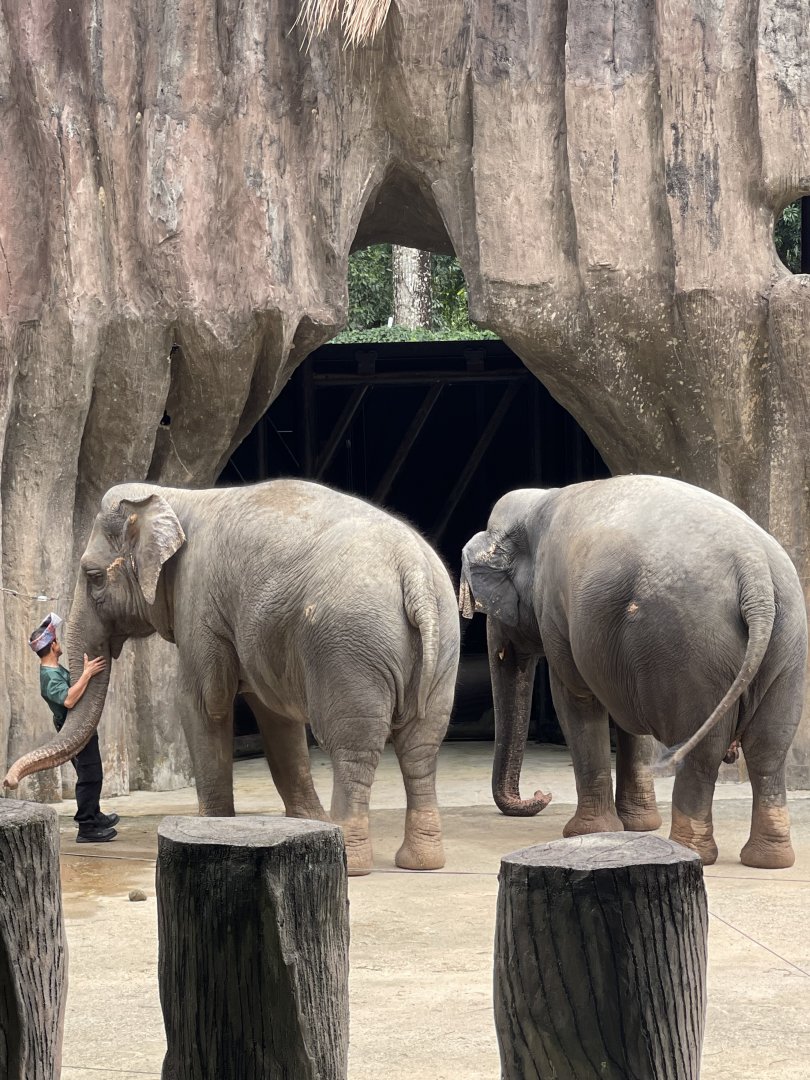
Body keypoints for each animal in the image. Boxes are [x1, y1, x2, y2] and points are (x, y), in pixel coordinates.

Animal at [5, 480, 461, 875]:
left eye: (93, 576)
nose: (7, 782)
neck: (174, 497)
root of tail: (413, 573)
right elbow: (274, 716)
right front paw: (307, 826)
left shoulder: (199, 598)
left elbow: (203, 703)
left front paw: (209, 829)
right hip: (439, 649)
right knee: (421, 746)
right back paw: (421, 862)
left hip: (350, 647)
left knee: (354, 747)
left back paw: (353, 860)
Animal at [458, 475, 807, 869]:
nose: (541, 794)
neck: (539, 501)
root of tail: (754, 569)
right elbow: (625, 713)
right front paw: (637, 826)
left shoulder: (556, 614)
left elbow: (576, 699)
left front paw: (583, 833)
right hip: (787, 644)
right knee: (769, 749)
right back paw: (768, 859)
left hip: (692, 649)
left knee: (702, 751)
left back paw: (692, 851)